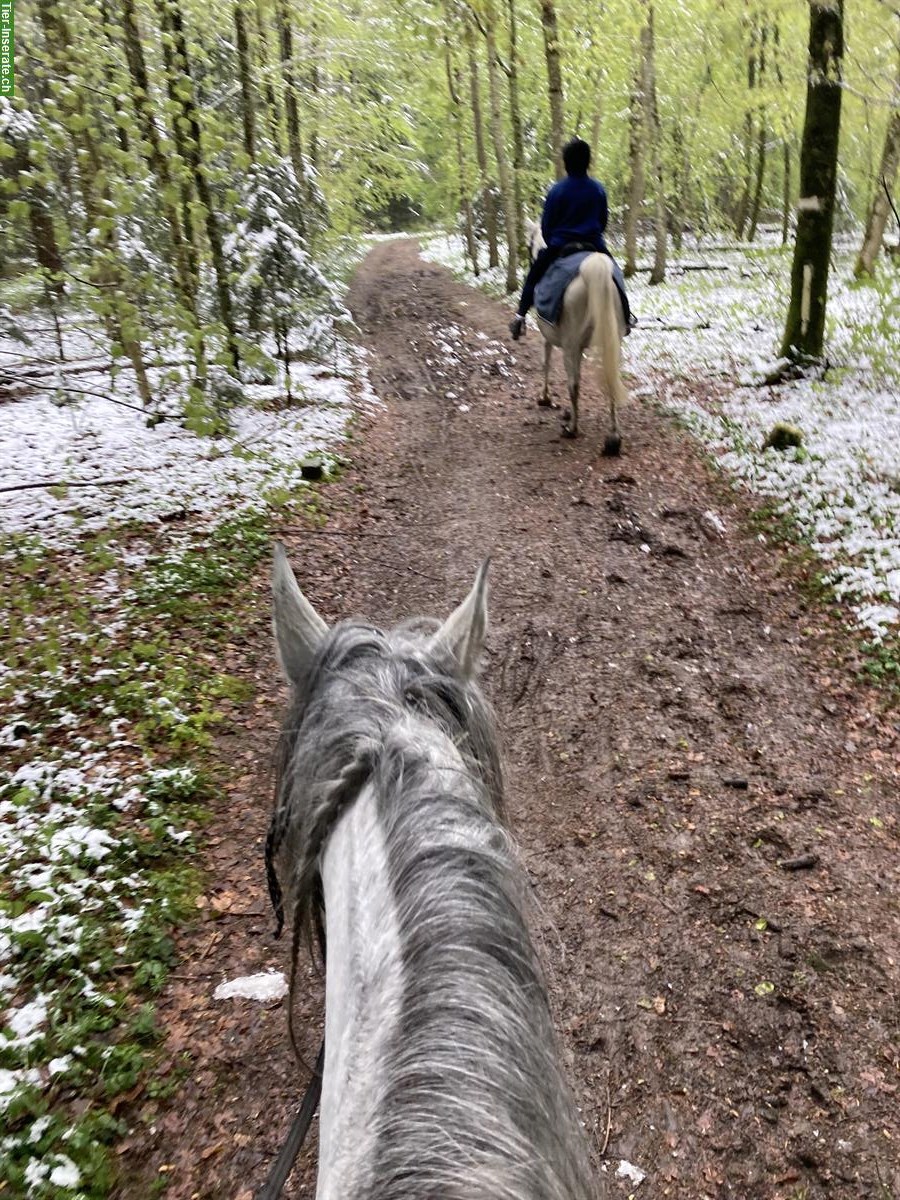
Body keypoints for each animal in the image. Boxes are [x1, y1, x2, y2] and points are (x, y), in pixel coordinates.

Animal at [528, 220, 628, 453]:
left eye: (529, 244)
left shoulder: (550, 338)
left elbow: (545, 362)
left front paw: (545, 398)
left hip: (570, 345)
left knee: (573, 384)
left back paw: (572, 428)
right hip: (613, 340)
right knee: (610, 377)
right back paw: (614, 437)